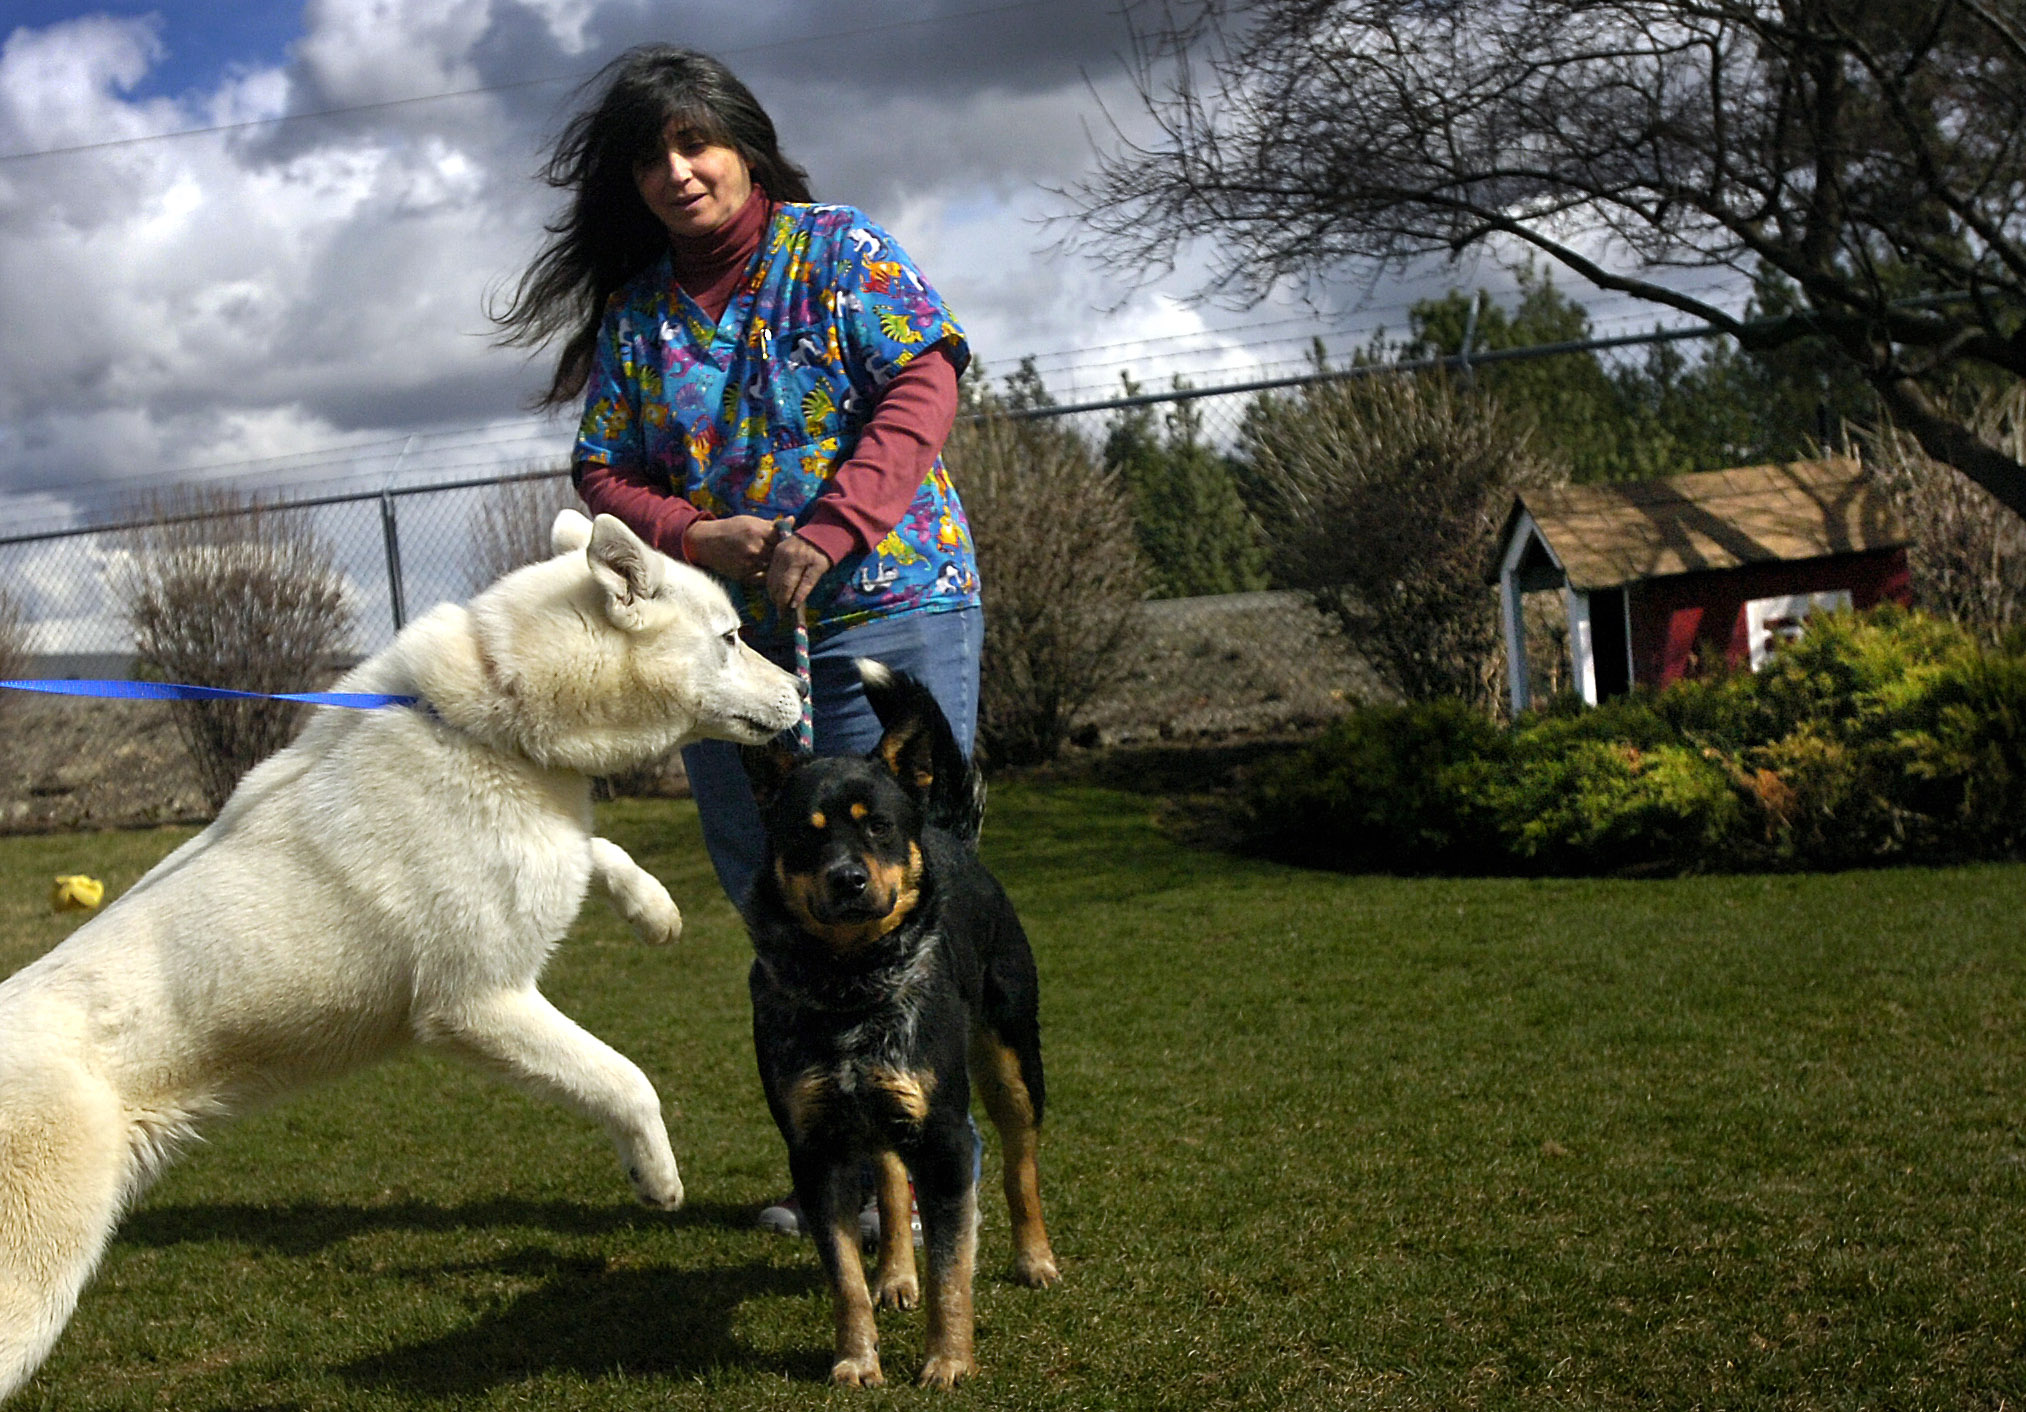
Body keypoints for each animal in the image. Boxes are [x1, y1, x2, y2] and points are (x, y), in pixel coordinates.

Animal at [0, 508, 802, 1401]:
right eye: (731, 637)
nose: (803, 689)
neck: (498, 719)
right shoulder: (479, 1004)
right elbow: (627, 1082)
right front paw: (657, 1178)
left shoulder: (547, 856)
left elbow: (597, 850)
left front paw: (653, 910)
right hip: (31, 1286)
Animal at [745, 660, 1061, 1385]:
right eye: (807, 832)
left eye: (879, 827)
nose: (848, 879)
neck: (850, 988)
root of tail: (948, 829)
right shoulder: (815, 1148)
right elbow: (845, 1278)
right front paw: (856, 1360)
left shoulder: (944, 1140)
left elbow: (952, 1271)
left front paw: (948, 1362)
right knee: (890, 1183)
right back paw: (895, 1276)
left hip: (1012, 1059)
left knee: (1020, 1162)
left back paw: (1035, 1259)